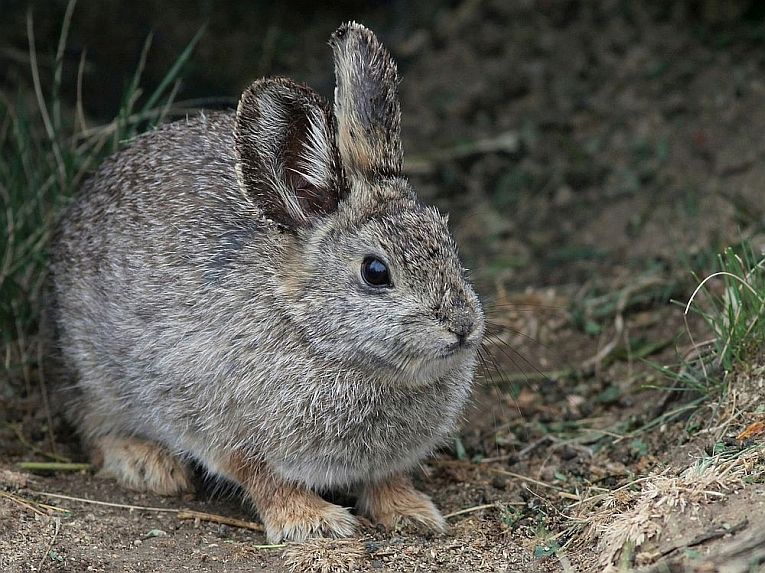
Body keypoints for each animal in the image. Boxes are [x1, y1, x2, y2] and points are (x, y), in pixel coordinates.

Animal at [49, 22, 484, 543]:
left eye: (448, 238)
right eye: (375, 272)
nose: (462, 326)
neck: (314, 335)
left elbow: (385, 478)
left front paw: (412, 512)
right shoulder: (225, 429)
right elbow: (266, 479)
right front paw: (313, 522)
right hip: (95, 373)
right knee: (92, 426)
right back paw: (148, 465)